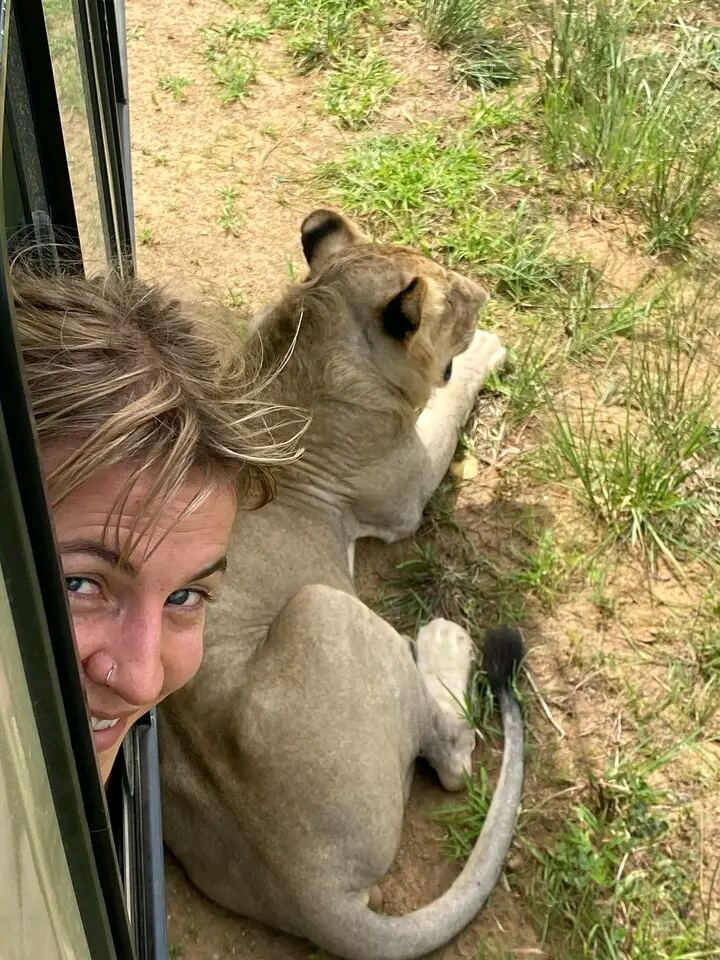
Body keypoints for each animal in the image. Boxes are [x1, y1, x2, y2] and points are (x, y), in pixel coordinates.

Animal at [159, 210, 524, 960]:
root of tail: (309, 884)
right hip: (322, 607)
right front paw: (488, 348)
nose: (483, 292)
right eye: (457, 302)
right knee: (452, 757)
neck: (311, 332)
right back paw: (444, 642)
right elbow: (450, 398)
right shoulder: (405, 490)